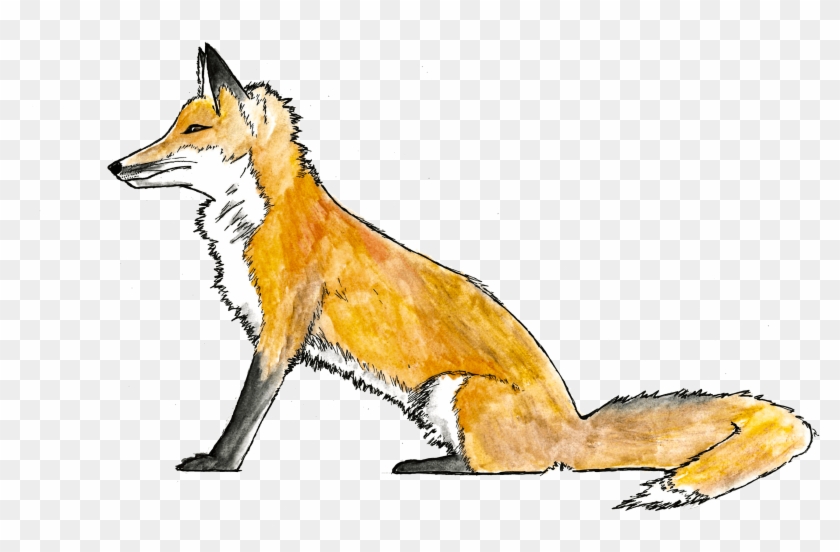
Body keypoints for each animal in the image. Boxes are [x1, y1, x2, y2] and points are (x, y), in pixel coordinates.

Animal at [108, 44, 813, 509]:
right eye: (171, 125)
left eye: (193, 128)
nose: (116, 165)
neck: (256, 216)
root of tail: (577, 424)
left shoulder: (282, 330)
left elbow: (244, 413)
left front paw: (217, 466)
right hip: (436, 403)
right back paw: (424, 461)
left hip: (456, 392)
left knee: (518, 471)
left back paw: (432, 468)